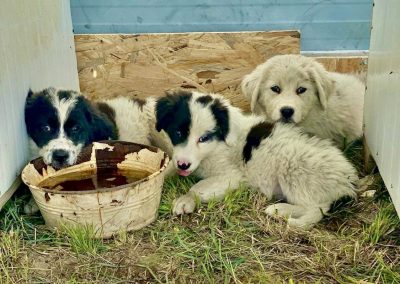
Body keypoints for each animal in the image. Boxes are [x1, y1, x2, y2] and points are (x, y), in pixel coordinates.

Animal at [155, 90, 358, 230]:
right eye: (178, 132)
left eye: (204, 138)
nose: (183, 164)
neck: (218, 145)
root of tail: (348, 181)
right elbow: (168, 168)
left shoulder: (232, 176)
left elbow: (198, 188)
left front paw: (185, 200)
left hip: (293, 168)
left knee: (317, 209)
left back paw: (280, 210)